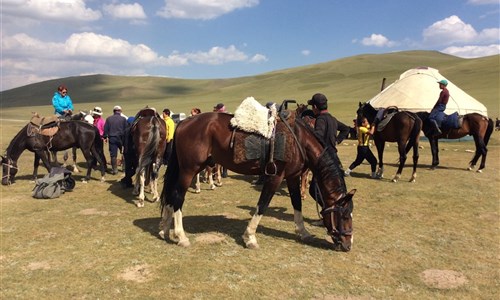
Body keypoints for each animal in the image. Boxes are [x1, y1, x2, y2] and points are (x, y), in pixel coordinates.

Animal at [159, 109, 356, 251]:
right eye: (345, 215)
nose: (348, 245)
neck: (299, 140)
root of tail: (184, 122)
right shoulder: (275, 177)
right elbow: (262, 205)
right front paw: (250, 238)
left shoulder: (292, 178)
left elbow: (297, 204)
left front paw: (303, 231)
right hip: (189, 170)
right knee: (178, 197)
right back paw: (181, 236)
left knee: (171, 195)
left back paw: (164, 229)